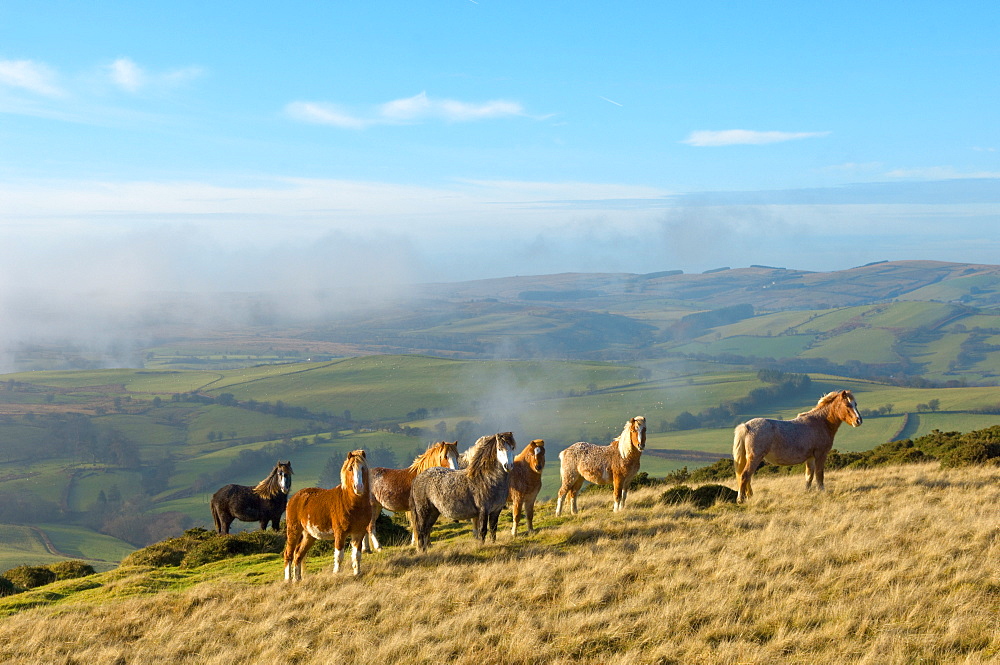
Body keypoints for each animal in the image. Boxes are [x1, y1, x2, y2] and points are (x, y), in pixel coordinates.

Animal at [284, 448, 374, 580]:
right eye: (350, 468)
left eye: (363, 468)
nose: (358, 487)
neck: (351, 503)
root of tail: (293, 498)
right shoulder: (340, 533)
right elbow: (339, 555)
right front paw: (336, 574)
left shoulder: (359, 532)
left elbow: (357, 555)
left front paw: (357, 573)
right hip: (294, 530)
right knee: (289, 554)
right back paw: (288, 580)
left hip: (308, 535)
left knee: (298, 555)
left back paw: (297, 580)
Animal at [732, 386, 864, 500]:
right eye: (847, 404)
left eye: (855, 404)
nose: (859, 421)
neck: (820, 422)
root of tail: (746, 426)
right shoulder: (820, 455)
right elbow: (819, 474)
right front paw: (821, 491)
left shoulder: (810, 457)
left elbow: (809, 476)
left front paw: (807, 492)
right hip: (755, 457)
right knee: (745, 475)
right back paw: (741, 499)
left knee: (747, 477)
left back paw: (749, 496)